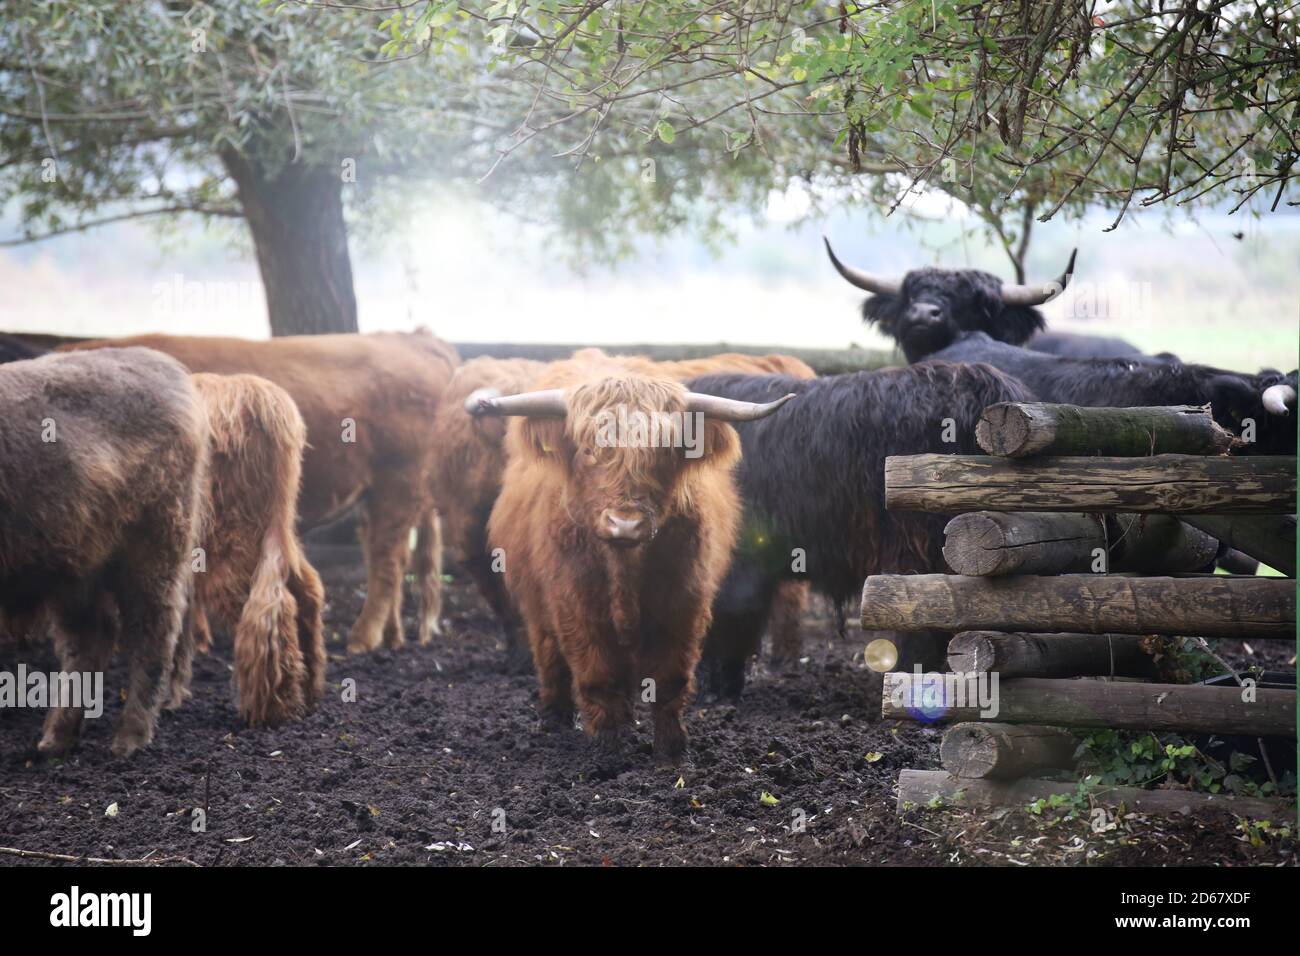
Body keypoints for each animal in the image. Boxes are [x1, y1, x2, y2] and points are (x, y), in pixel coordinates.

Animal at [1, 348, 208, 757]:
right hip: (75, 570)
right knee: (91, 639)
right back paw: (57, 738)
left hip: (151, 555)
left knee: (152, 634)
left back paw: (129, 739)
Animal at [479, 354, 794, 765]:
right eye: (588, 451)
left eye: (664, 452)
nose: (625, 524)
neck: (624, 568)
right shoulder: (574, 603)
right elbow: (597, 676)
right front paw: (608, 752)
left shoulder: (684, 602)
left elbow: (671, 679)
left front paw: (673, 751)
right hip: (537, 605)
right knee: (548, 658)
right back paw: (553, 720)